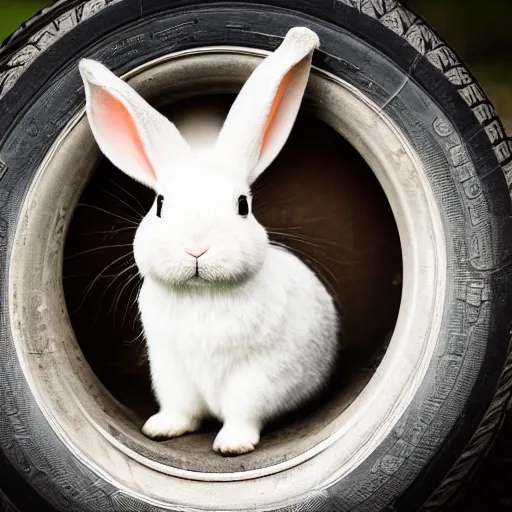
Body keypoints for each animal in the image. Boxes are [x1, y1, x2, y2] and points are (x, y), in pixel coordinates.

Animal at [78, 27, 338, 456]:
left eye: (242, 205)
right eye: (160, 204)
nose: (196, 250)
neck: (202, 296)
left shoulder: (258, 373)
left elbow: (243, 412)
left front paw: (232, 446)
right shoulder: (171, 370)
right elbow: (180, 409)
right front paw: (160, 430)